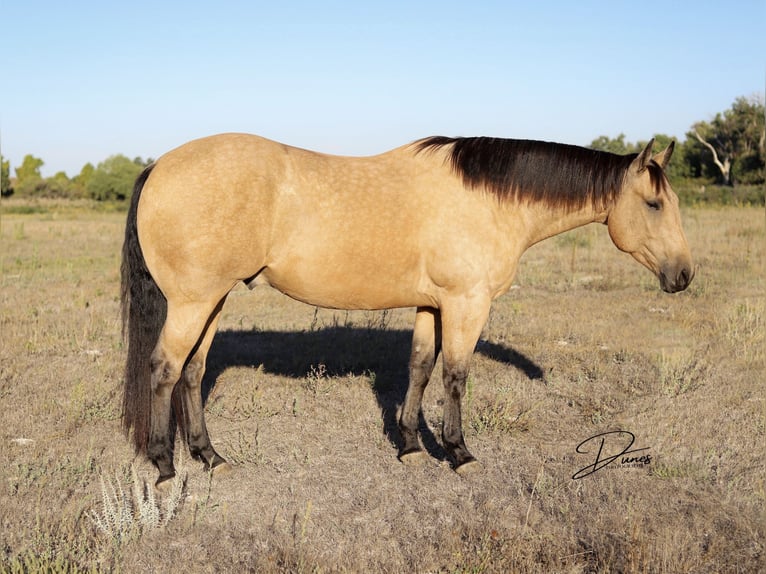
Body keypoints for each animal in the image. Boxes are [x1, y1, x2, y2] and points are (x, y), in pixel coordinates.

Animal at [120, 133, 696, 488]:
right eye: (653, 204)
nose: (684, 275)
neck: (488, 201)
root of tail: (159, 165)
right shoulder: (467, 303)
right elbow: (456, 375)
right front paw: (459, 454)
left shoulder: (431, 305)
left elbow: (419, 368)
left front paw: (411, 446)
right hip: (193, 303)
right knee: (165, 370)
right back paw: (165, 467)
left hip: (212, 301)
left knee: (193, 372)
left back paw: (210, 458)